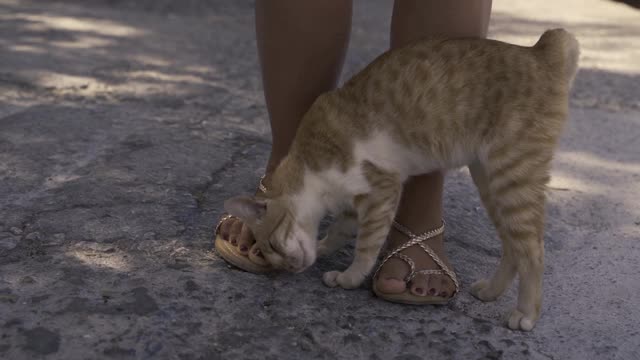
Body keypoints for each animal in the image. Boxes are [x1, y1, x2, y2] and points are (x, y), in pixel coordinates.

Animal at [225, 29, 580, 330]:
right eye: (270, 256)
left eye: (273, 245)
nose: (292, 269)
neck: (310, 166)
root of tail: (541, 51)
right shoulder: (353, 203)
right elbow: (340, 230)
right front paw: (325, 246)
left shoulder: (382, 189)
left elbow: (366, 245)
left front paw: (349, 277)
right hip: (491, 183)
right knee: (511, 246)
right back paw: (492, 291)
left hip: (512, 178)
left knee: (533, 251)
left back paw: (526, 313)